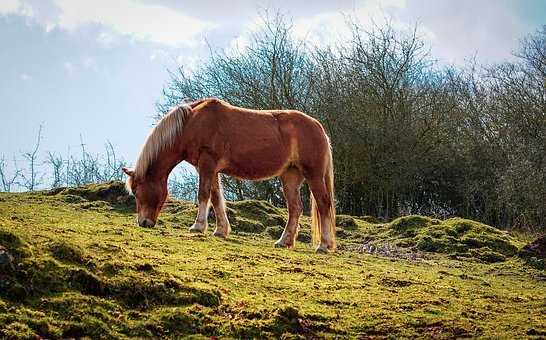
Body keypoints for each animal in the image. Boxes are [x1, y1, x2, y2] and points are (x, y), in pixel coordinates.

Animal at [122, 98, 336, 252]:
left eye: (137, 191)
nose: (143, 223)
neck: (191, 123)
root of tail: (318, 127)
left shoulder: (207, 164)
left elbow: (203, 194)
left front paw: (198, 226)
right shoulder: (209, 169)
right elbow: (216, 198)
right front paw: (220, 230)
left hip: (314, 175)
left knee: (323, 204)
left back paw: (323, 245)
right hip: (290, 177)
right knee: (295, 208)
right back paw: (284, 241)